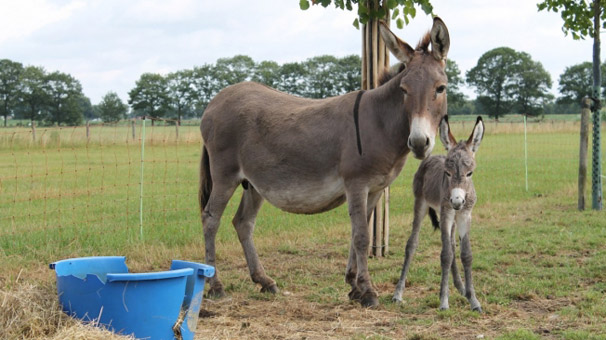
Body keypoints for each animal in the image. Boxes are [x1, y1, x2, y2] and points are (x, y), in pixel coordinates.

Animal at [394, 115, 484, 312]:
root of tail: (431, 156)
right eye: (447, 173)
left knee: (451, 244)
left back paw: (461, 287)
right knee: (412, 244)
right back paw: (398, 293)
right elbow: (446, 255)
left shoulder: (464, 215)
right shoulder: (446, 213)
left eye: (470, 173)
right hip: (421, 204)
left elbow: (466, 254)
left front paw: (473, 300)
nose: (456, 201)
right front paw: (444, 301)